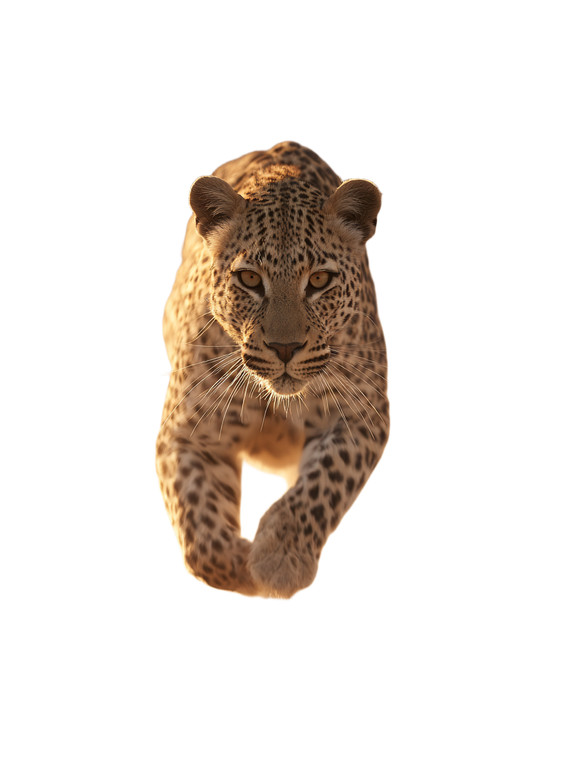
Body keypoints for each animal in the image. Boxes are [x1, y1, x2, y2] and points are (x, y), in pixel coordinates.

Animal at [154, 139, 391, 601]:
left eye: (318, 280)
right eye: (249, 279)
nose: (285, 348)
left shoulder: (362, 418)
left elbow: (322, 483)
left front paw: (279, 560)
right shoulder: (186, 432)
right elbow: (200, 533)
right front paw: (240, 570)